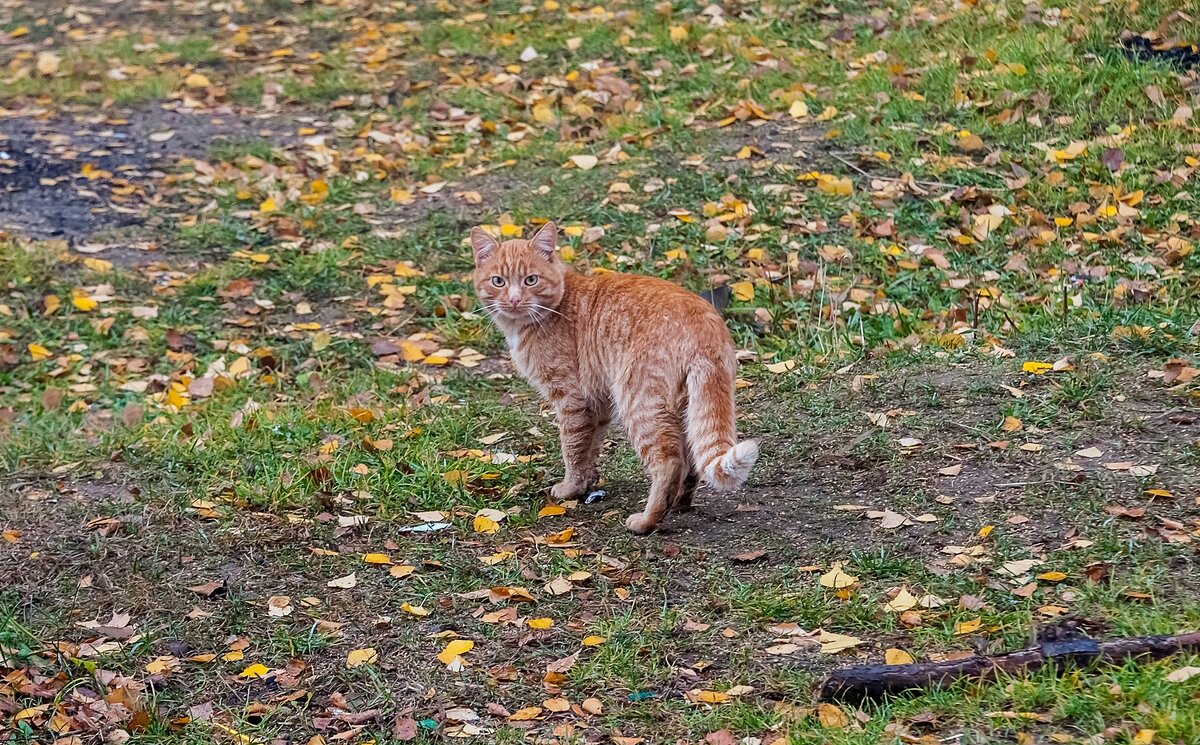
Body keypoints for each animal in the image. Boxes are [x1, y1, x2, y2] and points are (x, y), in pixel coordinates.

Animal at [470, 218, 758, 532]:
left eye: (530, 280)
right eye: (498, 281)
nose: (513, 300)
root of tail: (706, 325)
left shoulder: (571, 399)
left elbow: (572, 448)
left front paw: (570, 488)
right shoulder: (597, 403)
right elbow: (590, 447)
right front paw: (585, 485)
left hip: (638, 403)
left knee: (669, 462)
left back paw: (647, 520)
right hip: (685, 407)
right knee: (691, 458)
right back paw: (679, 504)